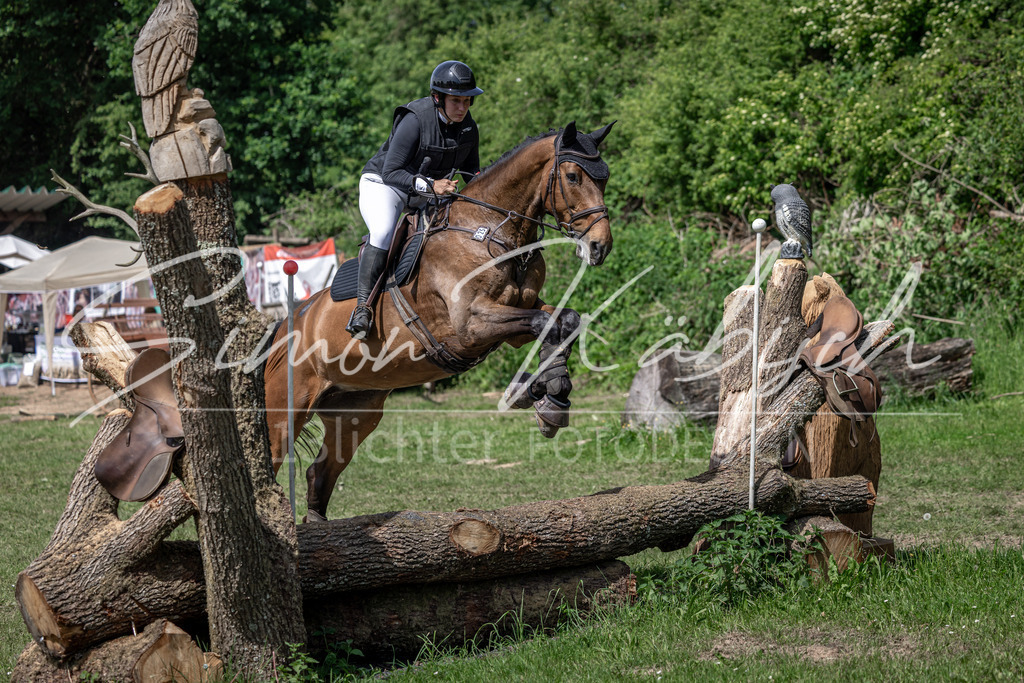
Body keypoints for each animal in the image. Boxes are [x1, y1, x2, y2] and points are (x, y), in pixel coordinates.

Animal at [264, 121, 615, 521]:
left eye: (604, 178)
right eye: (573, 176)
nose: (600, 246)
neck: (490, 230)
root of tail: (285, 326)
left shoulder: (517, 314)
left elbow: (563, 321)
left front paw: (548, 395)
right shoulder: (472, 324)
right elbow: (546, 325)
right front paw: (536, 391)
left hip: (355, 413)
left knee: (320, 472)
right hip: (284, 411)